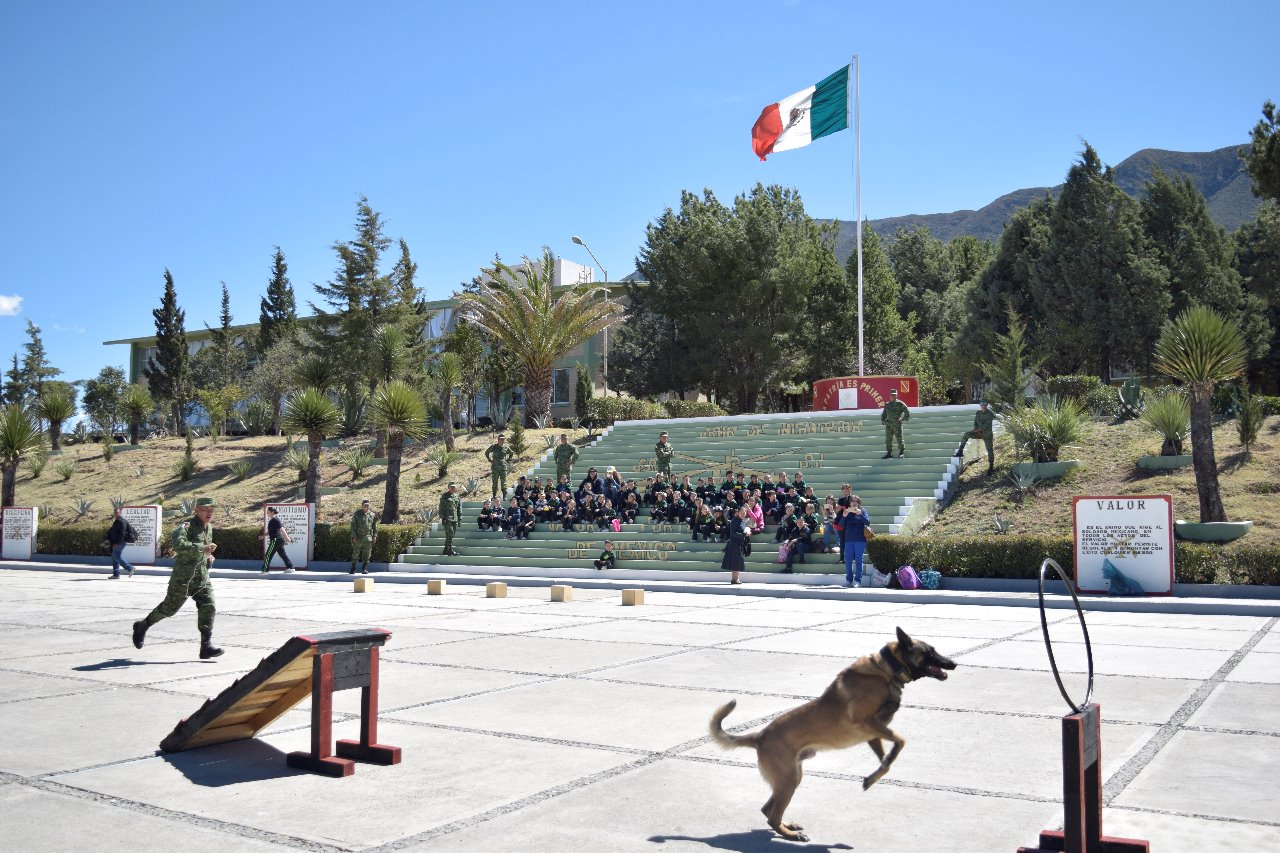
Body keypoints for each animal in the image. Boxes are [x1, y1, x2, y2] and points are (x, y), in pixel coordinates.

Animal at [706, 625, 957, 835]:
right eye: (930, 651)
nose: (953, 664)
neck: (886, 671)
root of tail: (759, 736)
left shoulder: (874, 733)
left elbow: (887, 760)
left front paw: (875, 775)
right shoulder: (867, 722)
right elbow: (901, 741)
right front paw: (880, 768)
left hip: (792, 777)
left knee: (768, 810)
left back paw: (788, 826)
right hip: (788, 779)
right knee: (771, 816)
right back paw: (790, 835)